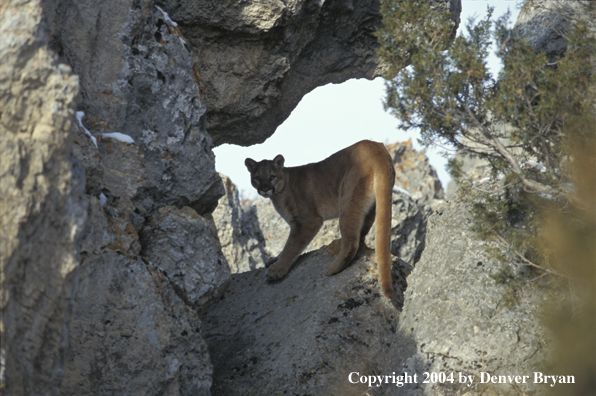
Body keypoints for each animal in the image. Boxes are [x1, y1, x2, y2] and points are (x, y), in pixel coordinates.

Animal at [244, 139, 398, 296]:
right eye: (257, 178)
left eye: (271, 177)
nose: (264, 189)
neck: (280, 192)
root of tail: (377, 147)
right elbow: (288, 246)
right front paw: (275, 260)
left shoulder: (307, 221)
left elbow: (290, 247)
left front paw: (276, 270)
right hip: (372, 205)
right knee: (361, 237)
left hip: (348, 199)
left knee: (352, 241)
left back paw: (332, 268)